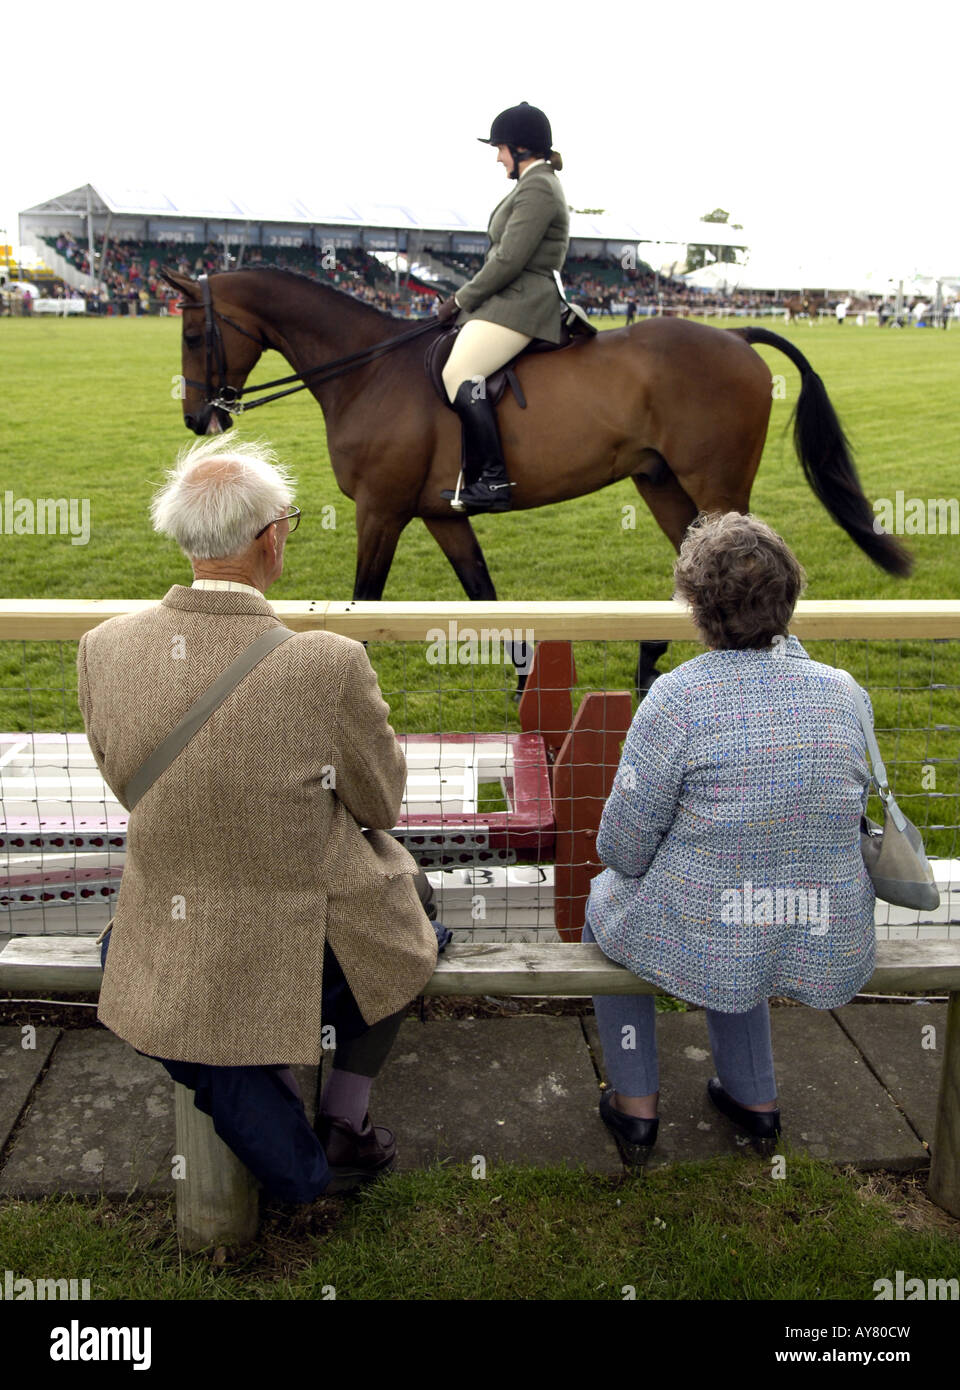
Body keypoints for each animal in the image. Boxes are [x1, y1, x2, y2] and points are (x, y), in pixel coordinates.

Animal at [161, 264, 911, 689]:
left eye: (194, 334)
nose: (199, 417)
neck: (367, 370)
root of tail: (736, 335)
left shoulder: (382, 510)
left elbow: (366, 605)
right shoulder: (441, 514)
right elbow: (486, 599)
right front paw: (524, 685)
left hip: (714, 483)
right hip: (662, 484)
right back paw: (648, 660)